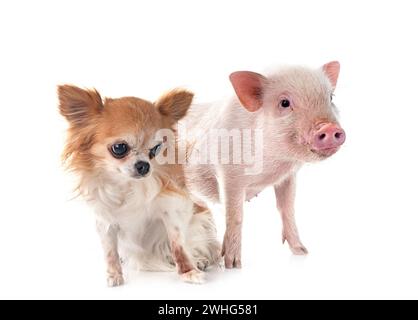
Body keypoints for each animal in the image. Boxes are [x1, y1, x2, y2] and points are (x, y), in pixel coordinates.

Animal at [59, 85, 222, 284]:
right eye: (119, 148)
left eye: (156, 149)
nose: (144, 165)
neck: (128, 185)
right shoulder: (106, 222)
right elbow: (110, 251)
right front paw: (114, 275)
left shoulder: (171, 210)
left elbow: (178, 245)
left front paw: (188, 271)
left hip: (199, 224)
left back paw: (200, 260)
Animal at [182, 62, 346, 268]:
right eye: (284, 103)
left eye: (330, 98)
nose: (329, 128)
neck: (272, 165)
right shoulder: (228, 174)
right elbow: (234, 215)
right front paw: (233, 265)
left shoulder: (288, 177)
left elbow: (287, 208)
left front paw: (302, 251)